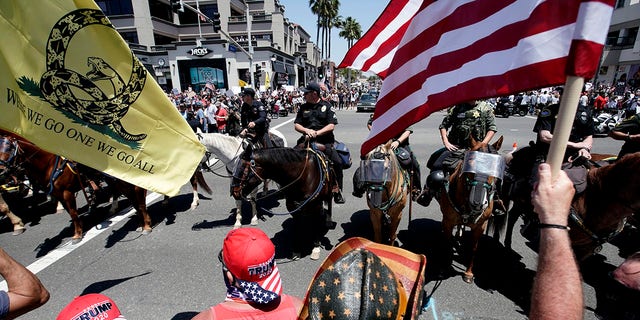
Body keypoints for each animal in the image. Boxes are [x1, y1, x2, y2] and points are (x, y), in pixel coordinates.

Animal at [0, 134, 151, 241]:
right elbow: (71, 213)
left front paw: (77, 235)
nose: (1, 172)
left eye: (9, 148)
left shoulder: (67, 192)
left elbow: (73, 212)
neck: (50, 165)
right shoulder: (59, 194)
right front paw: (79, 229)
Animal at [438, 135, 502, 282]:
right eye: (471, 162)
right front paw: (445, 267)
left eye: (495, 167)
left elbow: (473, 248)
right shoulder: (448, 222)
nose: (478, 202)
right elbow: (448, 243)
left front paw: (468, 273)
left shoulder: (480, 226)